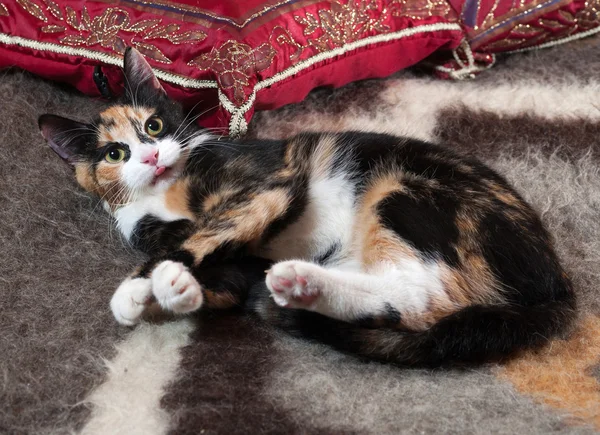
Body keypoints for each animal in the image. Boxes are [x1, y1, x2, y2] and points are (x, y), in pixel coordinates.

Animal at [38, 48, 576, 368]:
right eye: (114, 154)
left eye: (153, 125)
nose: (150, 156)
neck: (163, 193)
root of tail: (555, 288)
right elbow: (220, 274)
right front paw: (179, 289)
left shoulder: (268, 186)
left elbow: (204, 232)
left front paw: (137, 288)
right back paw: (295, 290)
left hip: (406, 193)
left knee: (418, 296)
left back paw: (299, 282)